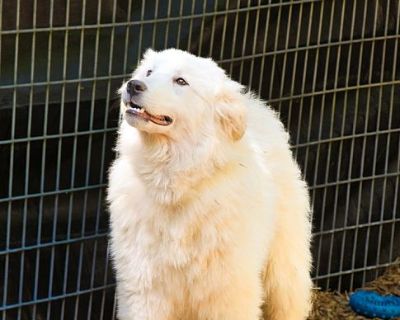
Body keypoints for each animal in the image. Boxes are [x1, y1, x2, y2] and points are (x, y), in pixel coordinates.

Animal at [108, 48, 314, 320]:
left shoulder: (227, 292)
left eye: (181, 81)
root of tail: (256, 105)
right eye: (149, 72)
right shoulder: (145, 286)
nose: (133, 85)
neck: (176, 183)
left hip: (284, 271)